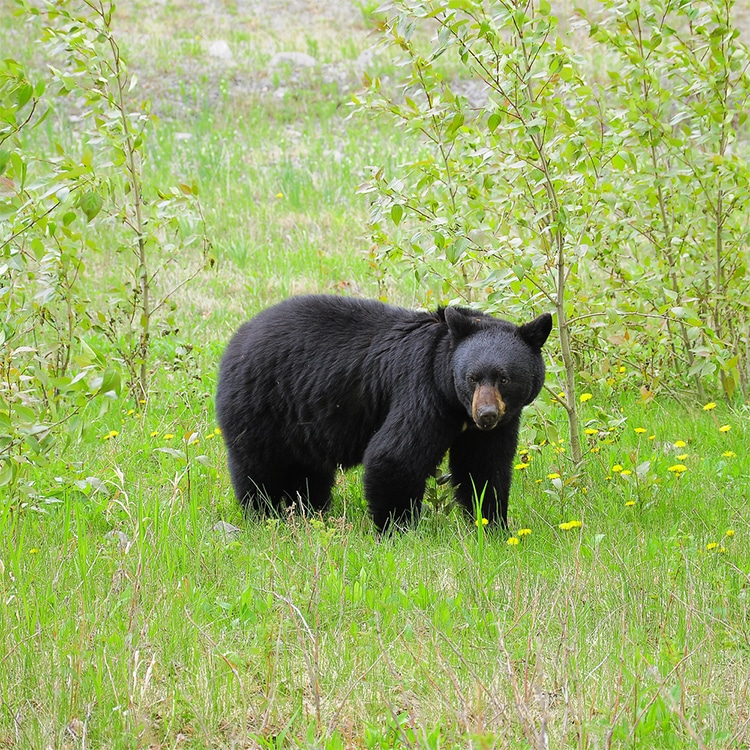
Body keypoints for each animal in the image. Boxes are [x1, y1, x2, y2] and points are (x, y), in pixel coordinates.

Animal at [214, 296, 556, 536]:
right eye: (472, 377)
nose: (486, 414)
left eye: (504, 378)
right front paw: (397, 529)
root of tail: (237, 338)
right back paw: (264, 514)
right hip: (261, 404)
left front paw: (494, 526)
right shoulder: (422, 391)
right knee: (259, 467)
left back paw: (309, 511)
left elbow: (484, 468)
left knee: (308, 471)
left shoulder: (493, 426)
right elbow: (395, 455)